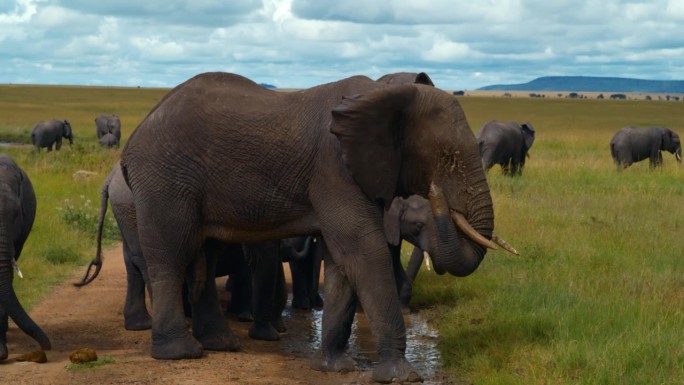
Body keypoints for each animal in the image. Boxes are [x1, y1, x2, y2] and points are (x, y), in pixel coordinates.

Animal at [119, 71, 512, 380]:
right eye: (447, 157)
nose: (436, 192)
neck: (383, 94)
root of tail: (134, 138)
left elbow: (343, 262)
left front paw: (333, 367)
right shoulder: (334, 168)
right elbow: (363, 250)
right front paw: (400, 376)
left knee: (204, 258)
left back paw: (220, 345)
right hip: (165, 180)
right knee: (172, 256)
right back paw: (181, 353)